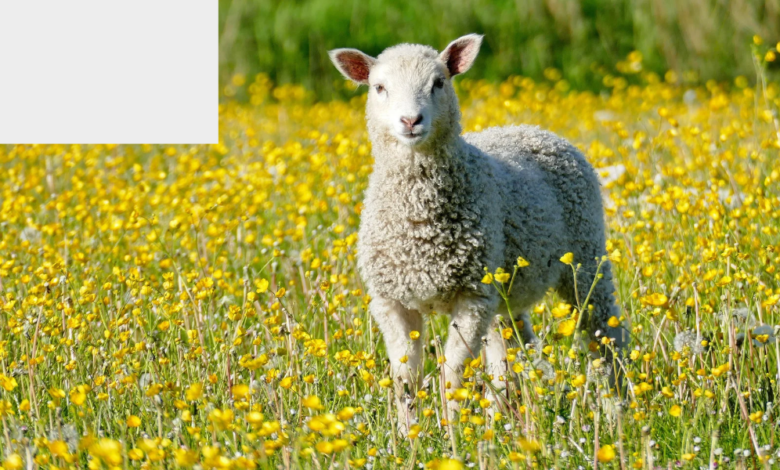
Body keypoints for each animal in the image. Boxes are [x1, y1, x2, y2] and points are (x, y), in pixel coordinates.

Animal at [329, 34, 627, 431]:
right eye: (379, 87)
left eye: (439, 82)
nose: (410, 120)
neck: (419, 222)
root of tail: (533, 129)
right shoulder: (391, 300)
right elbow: (405, 376)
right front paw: (409, 433)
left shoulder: (471, 297)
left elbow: (453, 373)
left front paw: (452, 430)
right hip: (506, 289)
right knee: (512, 348)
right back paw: (509, 419)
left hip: (585, 257)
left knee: (605, 334)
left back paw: (619, 410)